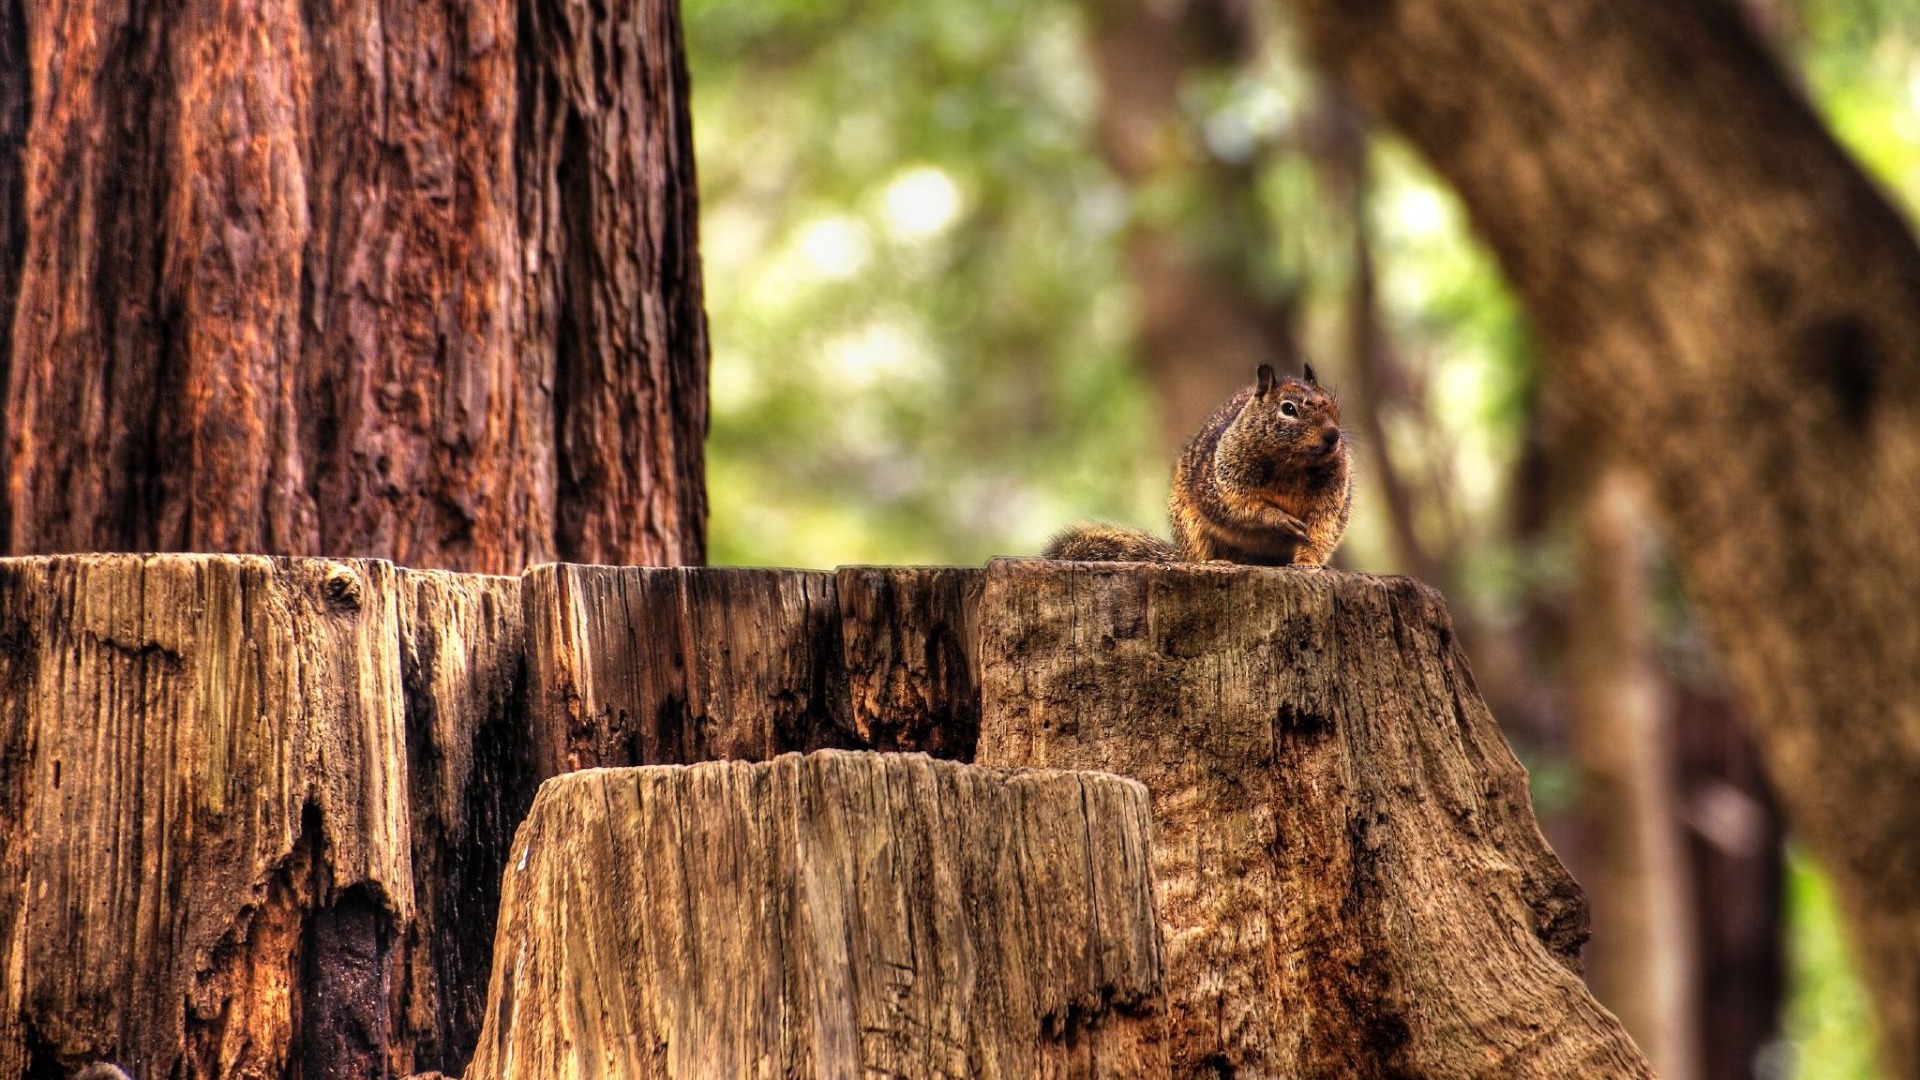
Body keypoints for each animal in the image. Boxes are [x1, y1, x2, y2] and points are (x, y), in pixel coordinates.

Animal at [1052, 359, 1351, 564]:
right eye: (1288, 408)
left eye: (1335, 405)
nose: (1333, 435)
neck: (1294, 465)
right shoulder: (1222, 482)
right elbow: (1238, 508)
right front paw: (1278, 518)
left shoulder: (1332, 496)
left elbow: (1322, 529)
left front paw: (1308, 563)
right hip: (1190, 525)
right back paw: (1217, 562)